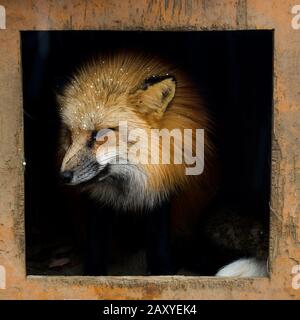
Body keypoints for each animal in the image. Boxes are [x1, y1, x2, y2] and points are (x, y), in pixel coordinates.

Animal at [58, 51, 268, 276]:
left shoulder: (163, 184)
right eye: (70, 134)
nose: (64, 176)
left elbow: (158, 237)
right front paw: (94, 272)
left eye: (99, 134)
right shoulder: (100, 200)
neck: (128, 185)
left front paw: (161, 271)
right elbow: (97, 238)